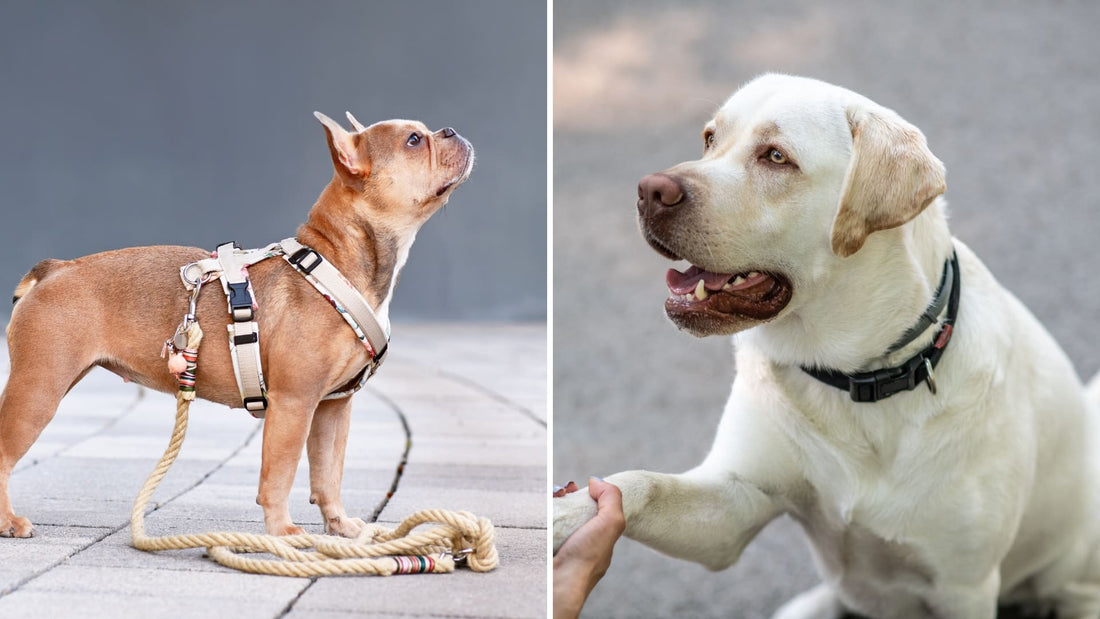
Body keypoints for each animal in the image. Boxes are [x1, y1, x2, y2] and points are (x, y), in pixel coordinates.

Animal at [0, 113, 473, 540]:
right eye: (414, 140)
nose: (451, 129)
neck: (336, 261)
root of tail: (56, 269)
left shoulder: (332, 408)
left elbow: (328, 472)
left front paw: (339, 525)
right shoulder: (294, 404)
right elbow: (280, 473)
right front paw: (282, 531)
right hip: (39, 388)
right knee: (4, 454)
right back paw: (8, 522)